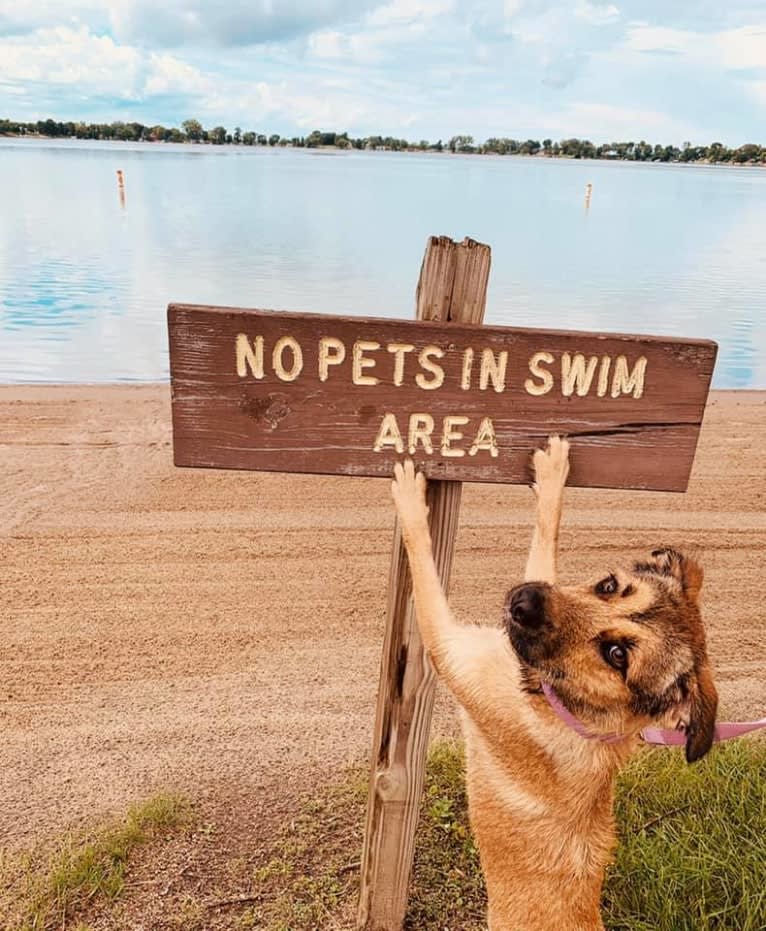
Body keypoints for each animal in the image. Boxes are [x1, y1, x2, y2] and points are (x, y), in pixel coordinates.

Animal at [396, 438, 720, 931]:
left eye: (617, 655)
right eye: (608, 585)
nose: (523, 600)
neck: (566, 706)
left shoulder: (446, 648)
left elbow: (423, 558)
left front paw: (411, 500)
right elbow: (546, 534)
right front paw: (552, 476)